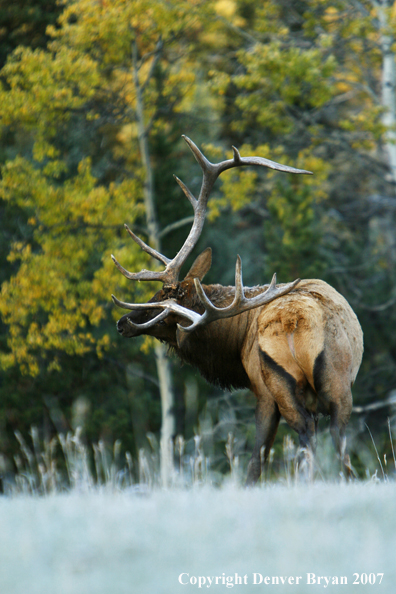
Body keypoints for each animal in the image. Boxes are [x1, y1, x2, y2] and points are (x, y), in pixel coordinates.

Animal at [110, 135, 362, 480]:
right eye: (155, 294)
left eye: (164, 303)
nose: (123, 322)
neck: (233, 342)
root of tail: (294, 325)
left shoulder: (259, 388)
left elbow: (257, 458)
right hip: (337, 383)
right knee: (339, 441)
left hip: (278, 384)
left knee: (300, 437)